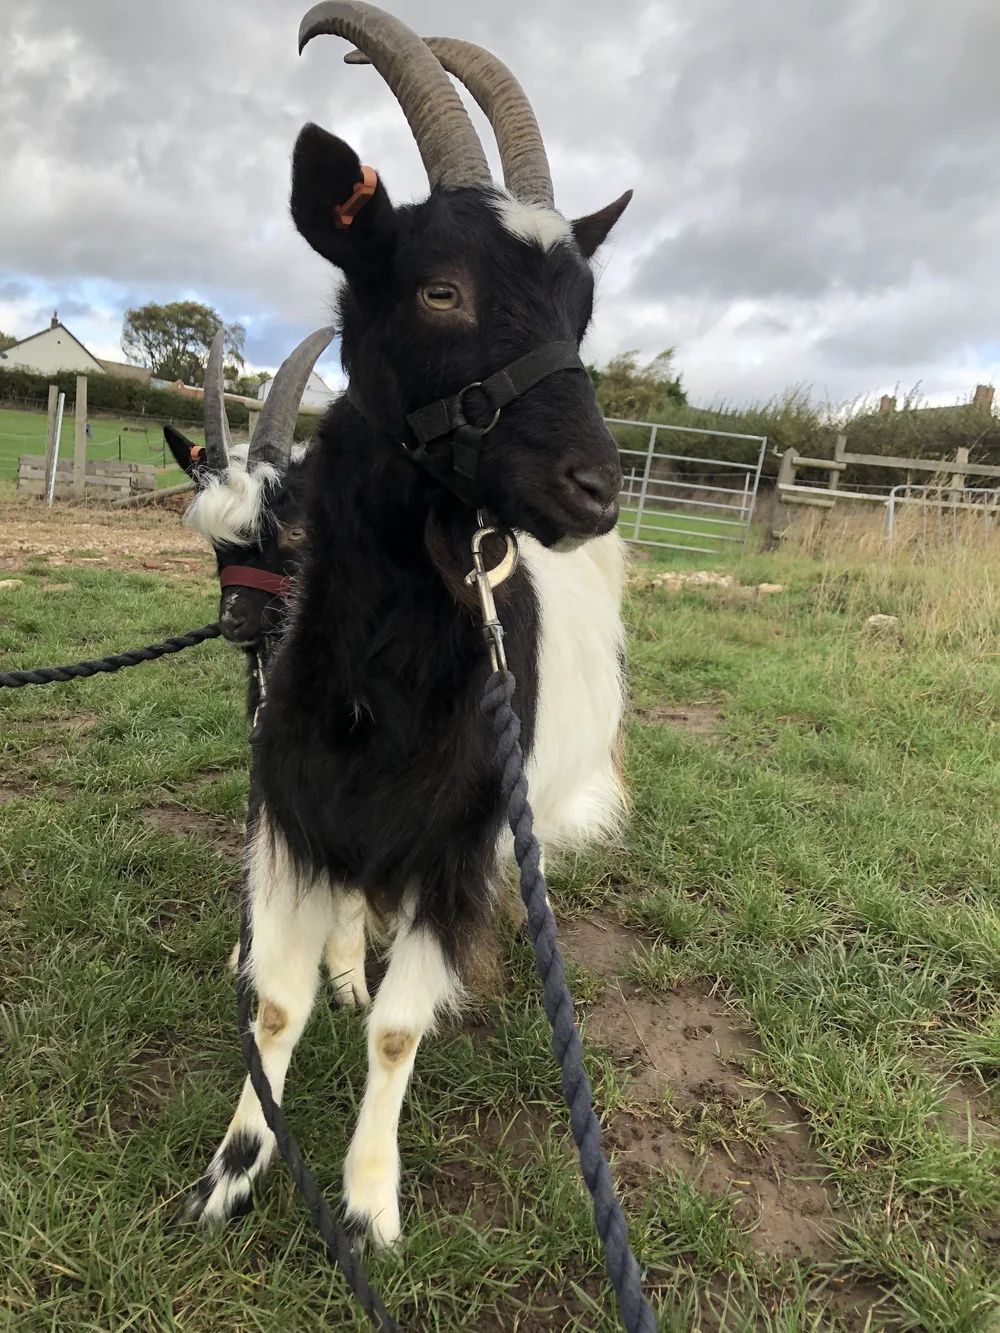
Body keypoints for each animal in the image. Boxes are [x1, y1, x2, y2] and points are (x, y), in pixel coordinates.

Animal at [188, 2, 631, 1250]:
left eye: (582, 308)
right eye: (441, 290)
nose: (597, 490)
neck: (382, 677)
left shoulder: (456, 842)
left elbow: (396, 1027)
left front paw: (367, 1201)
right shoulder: (297, 812)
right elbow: (276, 1002)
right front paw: (235, 1167)